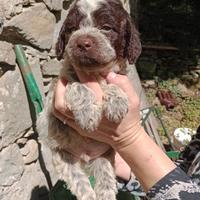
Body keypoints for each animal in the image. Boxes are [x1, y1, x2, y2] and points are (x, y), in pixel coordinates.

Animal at [37, 0, 141, 200]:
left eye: (106, 27)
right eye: (72, 29)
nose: (82, 43)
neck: (95, 73)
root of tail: (84, 158)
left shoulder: (118, 76)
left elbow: (113, 82)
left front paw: (116, 102)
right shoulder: (59, 86)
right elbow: (77, 85)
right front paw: (88, 115)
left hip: (104, 157)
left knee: (106, 181)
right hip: (64, 158)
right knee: (82, 185)